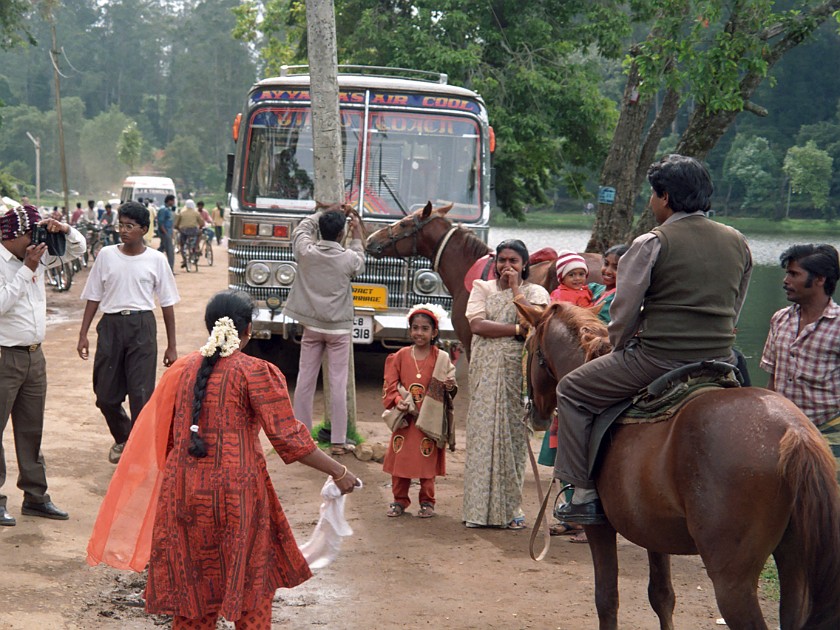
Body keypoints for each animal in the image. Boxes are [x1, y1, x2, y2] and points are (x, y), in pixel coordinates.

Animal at [520, 302, 840, 630]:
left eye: (529, 347)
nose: (535, 412)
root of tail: (792, 430)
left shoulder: (599, 527)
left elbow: (606, 599)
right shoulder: (652, 528)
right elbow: (662, 596)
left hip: (732, 579)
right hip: (795, 564)